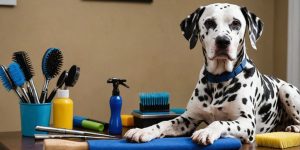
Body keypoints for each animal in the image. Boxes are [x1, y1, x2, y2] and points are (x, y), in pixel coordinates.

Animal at [123, 2, 300, 145]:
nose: (223, 41)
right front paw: (143, 130)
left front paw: (206, 131)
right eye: (209, 22)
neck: (219, 80)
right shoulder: (188, 118)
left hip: (287, 91)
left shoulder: (246, 123)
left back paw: (293, 127)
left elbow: (221, 122)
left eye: (236, 23)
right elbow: (164, 123)